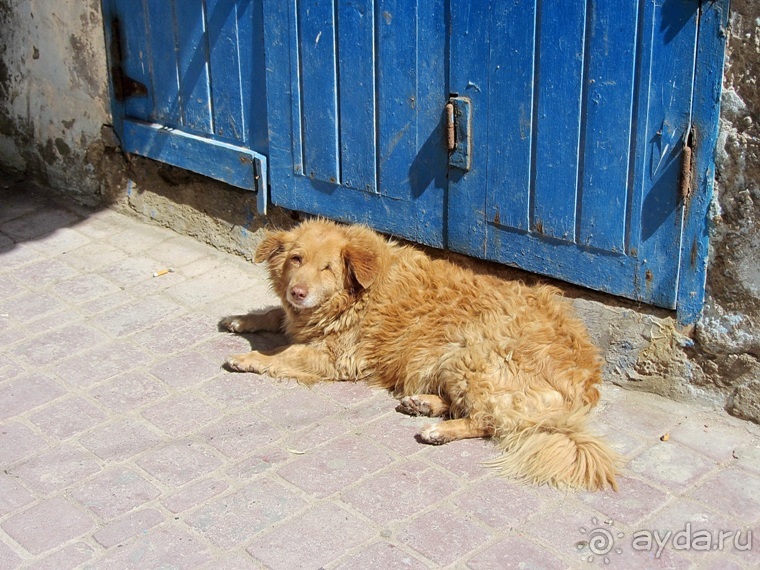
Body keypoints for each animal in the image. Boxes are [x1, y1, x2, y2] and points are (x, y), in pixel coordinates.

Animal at [220, 217, 616, 488]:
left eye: (327, 268)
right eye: (296, 260)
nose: (297, 293)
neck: (358, 290)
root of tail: (587, 380)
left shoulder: (336, 357)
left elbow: (284, 355)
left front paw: (249, 359)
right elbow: (273, 315)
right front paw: (240, 319)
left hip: (470, 355)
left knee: (488, 421)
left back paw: (438, 430)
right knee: (467, 407)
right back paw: (422, 403)